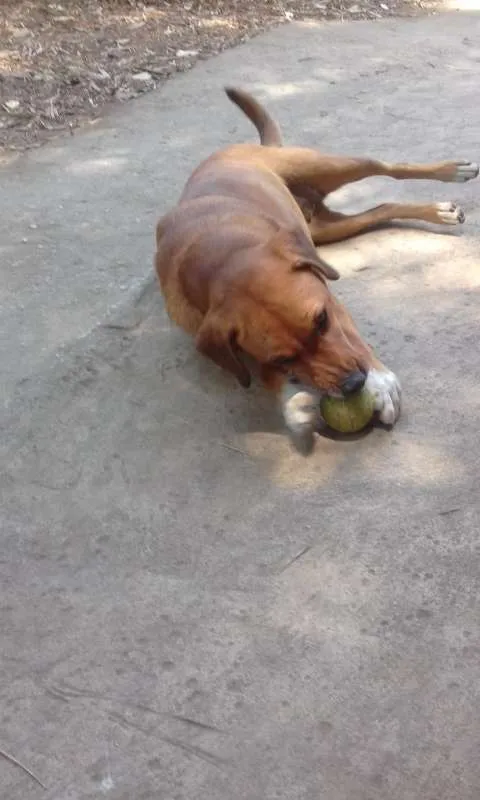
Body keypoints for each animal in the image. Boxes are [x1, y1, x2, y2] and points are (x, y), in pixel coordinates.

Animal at [156, 90, 478, 446]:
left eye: (321, 320)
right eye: (282, 359)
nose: (354, 384)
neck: (220, 256)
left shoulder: (330, 300)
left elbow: (353, 338)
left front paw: (379, 382)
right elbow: (267, 377)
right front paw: (293, 406)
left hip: (324, 165)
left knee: (386, 166)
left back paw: (452, 172)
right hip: (327, 227)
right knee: (384, 208)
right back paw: (438, 211)